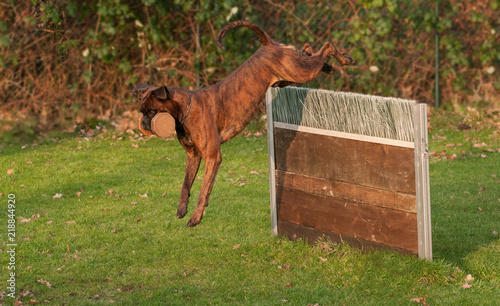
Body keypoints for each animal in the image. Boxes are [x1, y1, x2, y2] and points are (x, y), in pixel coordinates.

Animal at [133, 20, 352, 227]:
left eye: (151, 112)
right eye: (142, 112)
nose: (145, 122)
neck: (184, 110)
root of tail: (267, 45)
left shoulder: (212, 158)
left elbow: (203, 190)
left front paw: (196, 217)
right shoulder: (193, 156)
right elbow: (186, 185)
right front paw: (182, 209)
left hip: (302, 72)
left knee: (326, 46)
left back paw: (344, 59)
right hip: (293, 73)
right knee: (307, 49)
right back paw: (328, 65)